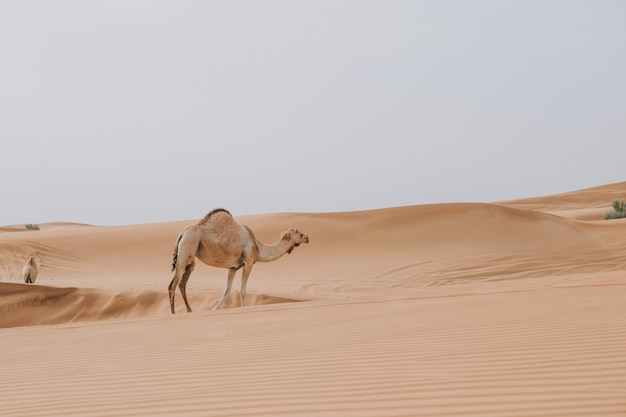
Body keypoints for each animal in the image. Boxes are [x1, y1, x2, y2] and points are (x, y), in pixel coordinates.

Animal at [169, 208, 308, 312]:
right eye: (300, 233)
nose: (307, 237)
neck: (258, 248)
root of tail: (182, 234)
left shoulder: (233, 267)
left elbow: (227, 291)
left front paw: (214, 310)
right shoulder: (248, 262)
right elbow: (243, 291)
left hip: (190, 259)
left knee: (182, 284)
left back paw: (189, 311)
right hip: (187, 247)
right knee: (173, 285)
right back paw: (173, 313)